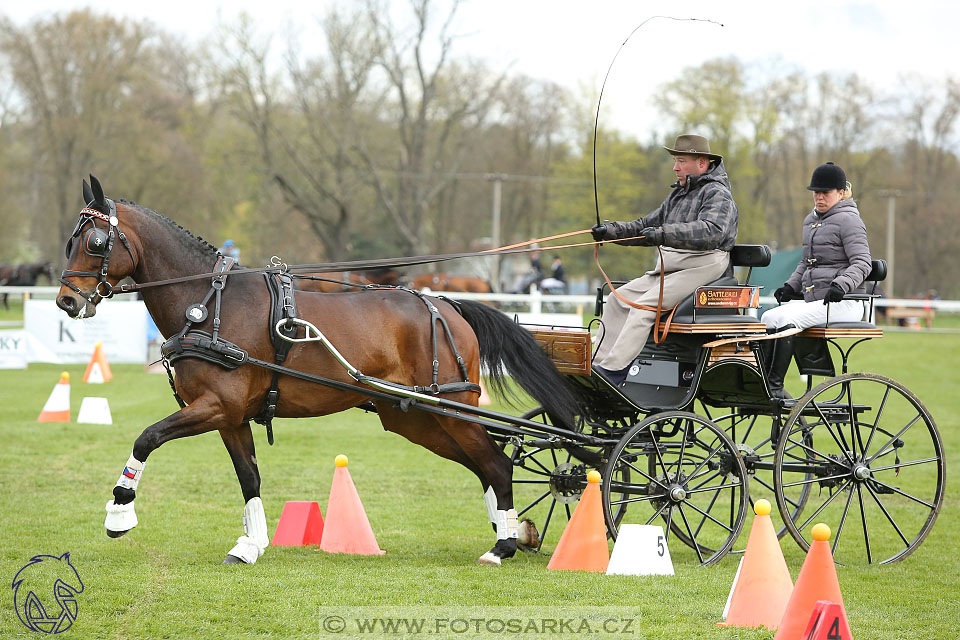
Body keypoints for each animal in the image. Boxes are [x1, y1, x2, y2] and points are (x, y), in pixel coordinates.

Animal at [54, 175, 576, 564]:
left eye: (96, 241)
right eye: (70, 241)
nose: (66, 301)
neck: (210, 302)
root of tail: (446, 303)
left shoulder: (214, 406)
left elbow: (147, 437)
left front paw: (118, 514)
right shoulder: (230, 416)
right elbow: (249, 478)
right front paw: (251, 544)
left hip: (450, 409)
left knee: (497, 463)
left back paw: (502, 544)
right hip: (415, 418)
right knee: (486, 464)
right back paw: (512, 531)